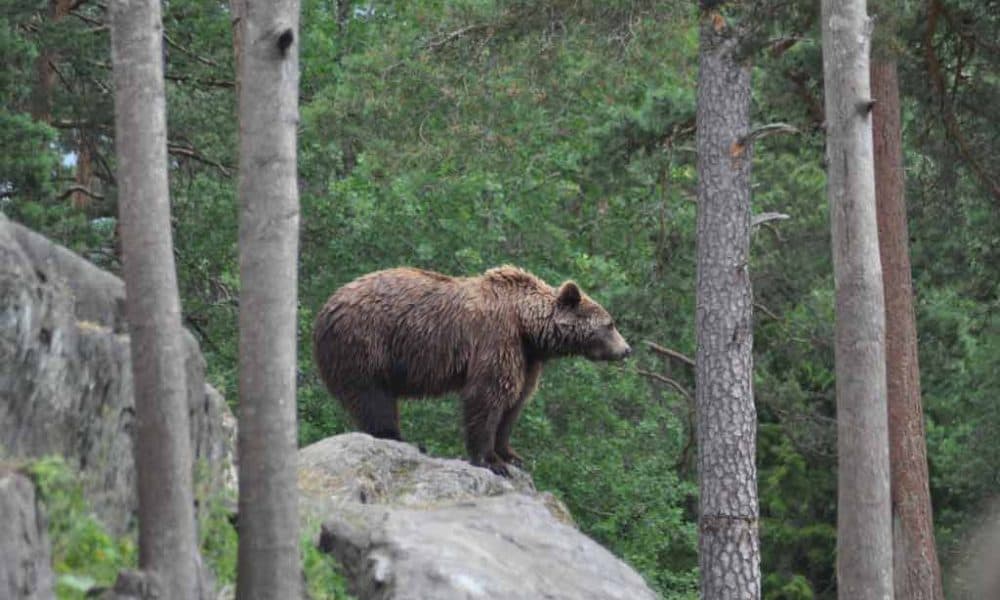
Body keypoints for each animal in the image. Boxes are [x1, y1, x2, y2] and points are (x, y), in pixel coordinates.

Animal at [312, 264, 628, 476]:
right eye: (610, 324)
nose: (626, 350)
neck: (527, 327)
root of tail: (325, 308)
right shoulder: (497, 339)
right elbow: (488, 395)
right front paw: (491, 460)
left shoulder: (527, 359)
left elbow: (515, 402)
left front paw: (511, 455)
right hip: (367, 342)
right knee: (373, 397)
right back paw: (398, 437)